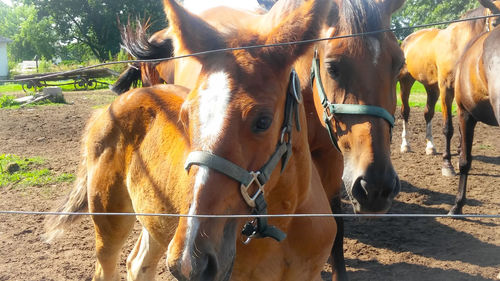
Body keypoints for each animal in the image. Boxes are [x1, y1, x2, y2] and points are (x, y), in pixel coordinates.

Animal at [46, 0, 340, 280]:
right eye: (185, 116)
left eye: (263, 121)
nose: (192, 262)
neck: (286, 224)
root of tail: (107, 109)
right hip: (110, 221)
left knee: (138, 264)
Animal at [398, 0, 500, 176]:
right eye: (494, 23)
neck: (459, 46)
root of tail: (406, 41)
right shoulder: (446, 90)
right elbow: (448, 128)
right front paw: (447, 164)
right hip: (406, 81)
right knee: (405, 112)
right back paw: (405, 145)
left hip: (432, 88)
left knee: (428, 113)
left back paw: (430, 146)